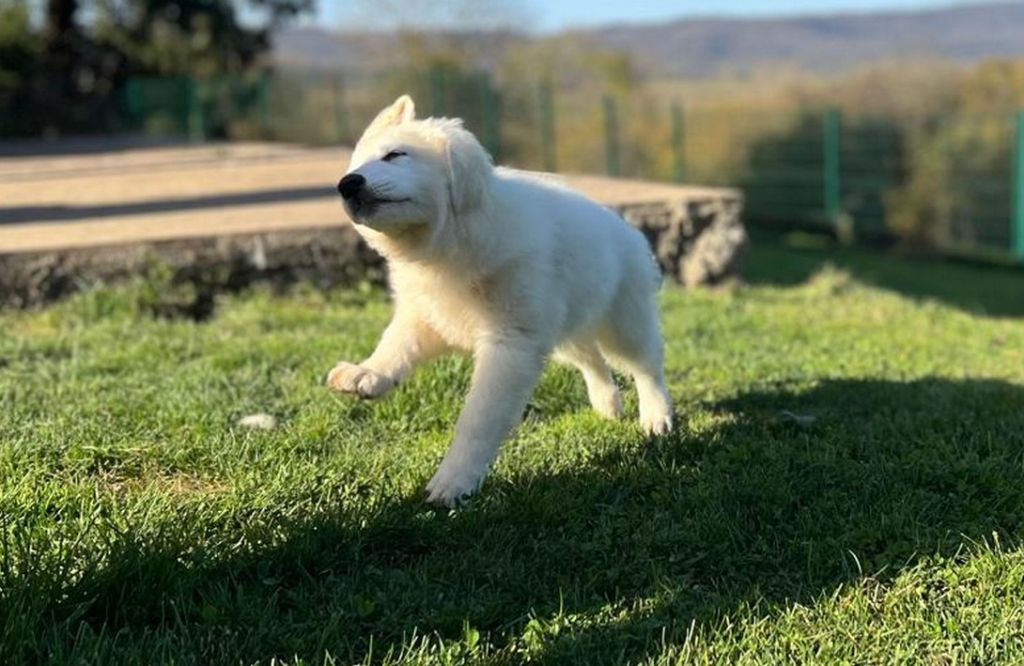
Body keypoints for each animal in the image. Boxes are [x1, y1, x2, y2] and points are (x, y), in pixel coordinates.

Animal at [327, 94, 671, 504]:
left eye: (395, 155)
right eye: (357, 166)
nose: (347, 184)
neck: (450, 240)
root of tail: (623, 226)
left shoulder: (510, 343)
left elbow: (478, 419)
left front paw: (454, 480)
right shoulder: (429, 315)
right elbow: (395, 345)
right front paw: (369, 373)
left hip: (622, 320)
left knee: (645, 363)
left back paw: (657, 416)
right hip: (561, 326)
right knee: (590, 358)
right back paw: (607, 404)